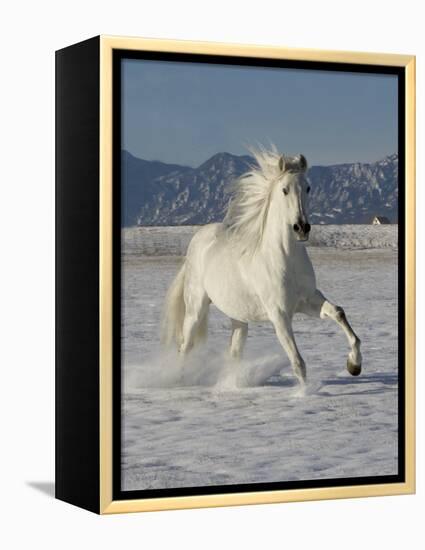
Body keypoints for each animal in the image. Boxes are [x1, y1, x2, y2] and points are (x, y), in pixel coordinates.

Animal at [161, 149, 360, 386]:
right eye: (284, 189)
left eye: (308, 187)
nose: (301, 228)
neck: (285, 258)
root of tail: (197, 240)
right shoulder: (279, 314)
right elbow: (298, 363)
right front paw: (305, 392)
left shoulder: (308, 300)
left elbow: (338, 313)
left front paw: (354, 365)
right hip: (196, 308)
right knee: (186, 345)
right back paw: (181, 380)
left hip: (238, 316)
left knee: (234, 351)